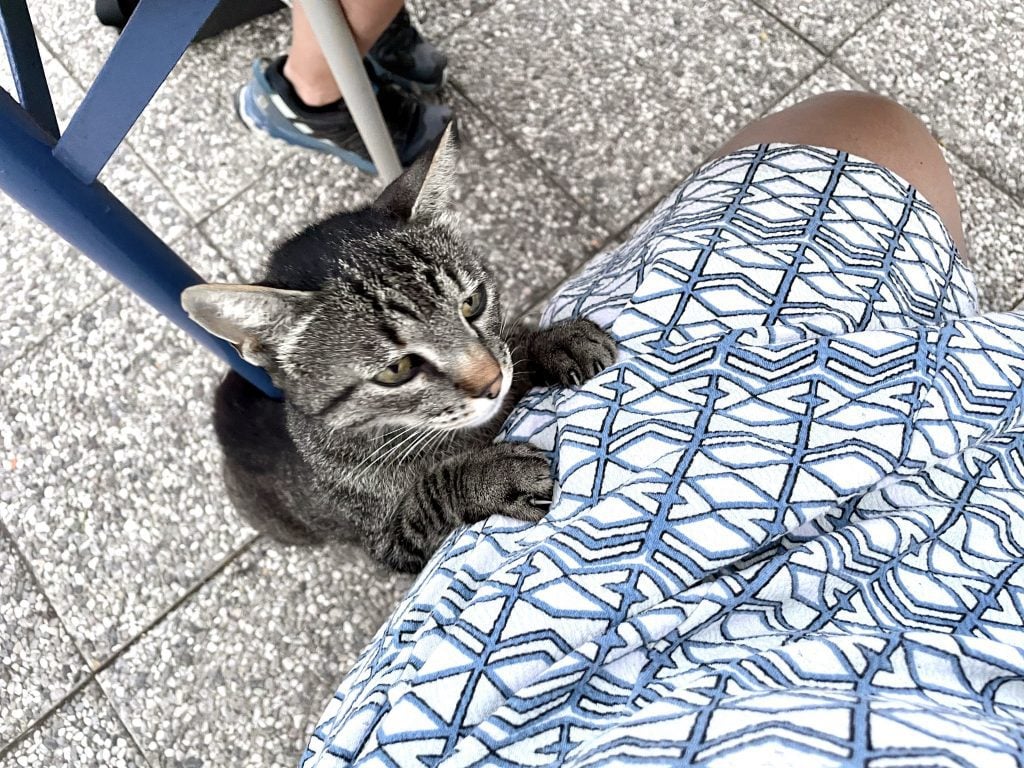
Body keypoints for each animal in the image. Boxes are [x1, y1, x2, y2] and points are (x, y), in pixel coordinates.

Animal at [181, 126, 614, 573]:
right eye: (397, 369)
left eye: (472, 304)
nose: (491, 383)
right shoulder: (391, 544)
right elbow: (431, 493)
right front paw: (492, 475)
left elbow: (513, 346)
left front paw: (553, 342)